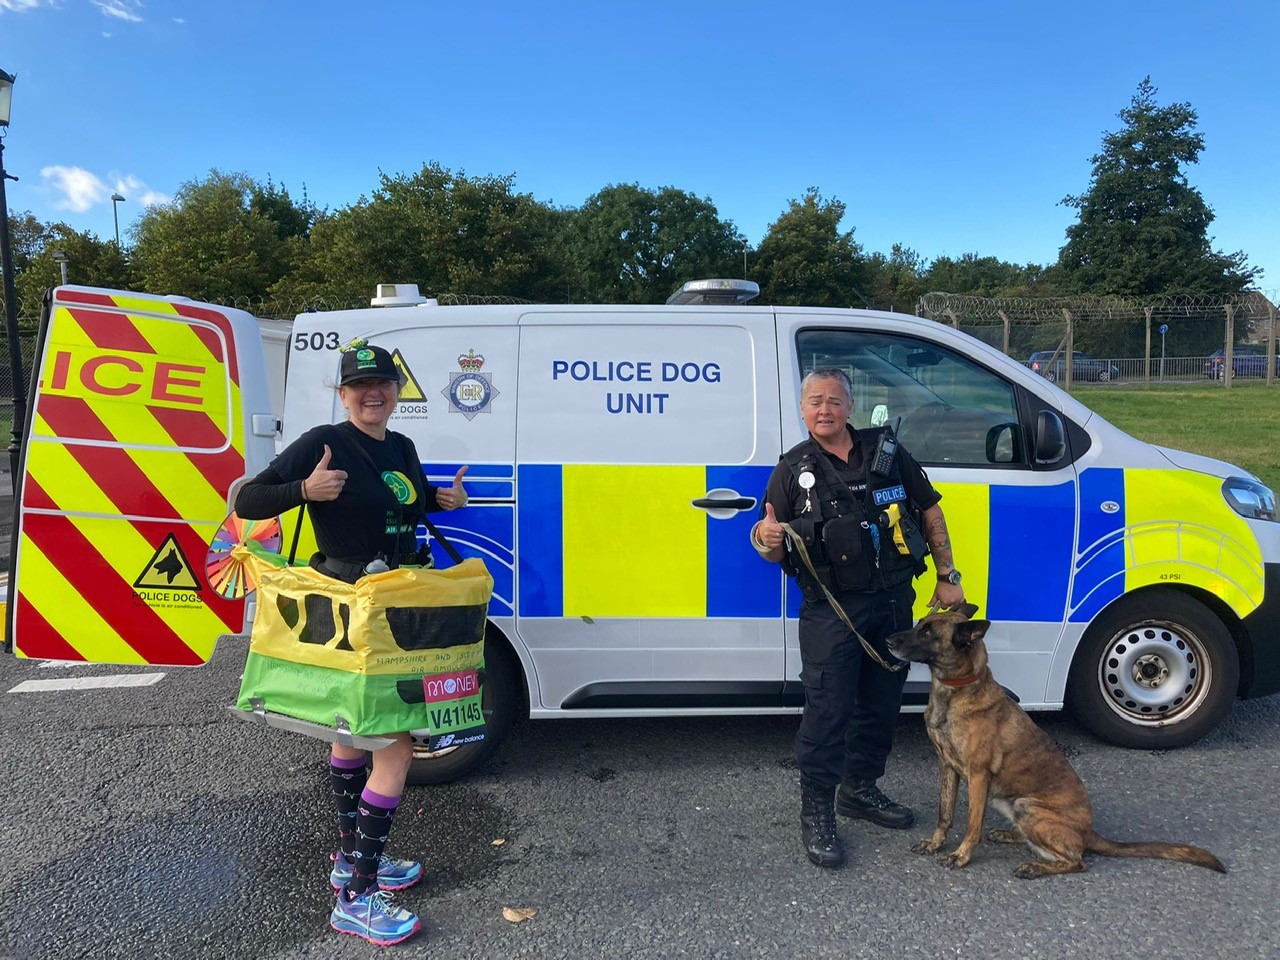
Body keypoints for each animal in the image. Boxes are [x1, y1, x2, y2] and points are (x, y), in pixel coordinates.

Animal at [885, 609, 1223, 880]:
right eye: (920, 624)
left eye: (927, 632)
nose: (888, 640)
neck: (955, 691)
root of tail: (1089, 833)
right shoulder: (947, 767)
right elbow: (945, 814)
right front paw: (935, 842)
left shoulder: (978, 776)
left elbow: (971, 824)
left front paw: (961, 855)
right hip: (1012, 803)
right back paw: (1010, 836)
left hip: (1027, 805)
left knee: (1077, 861)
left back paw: (1035, 868)